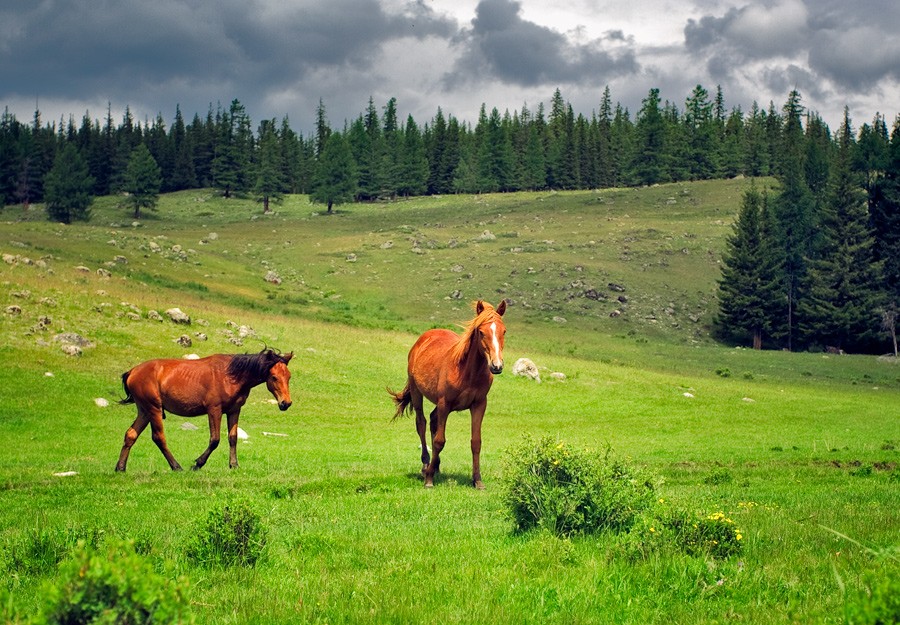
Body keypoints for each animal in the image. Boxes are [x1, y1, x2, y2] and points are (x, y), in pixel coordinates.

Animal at [114, 348, 294, 470]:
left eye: (289, 376)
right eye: (274, 377)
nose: (286, 403)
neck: (231, 375)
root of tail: (133, 371)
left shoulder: (234, 411)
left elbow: (233, 438)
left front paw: (234, 465)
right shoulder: (214, 410)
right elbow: (215, 440)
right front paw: (198, 464)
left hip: (144, 411)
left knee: (130, 435)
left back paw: (120, 467)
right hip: (154, 410)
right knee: (159, 437)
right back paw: (176, 466)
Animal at [390, 298, 510, 488]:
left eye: (503, 331)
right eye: (481, 332)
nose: (496, 366)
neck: (467, 372)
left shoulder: (479, 405)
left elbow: (476, 442)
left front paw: (477, 481)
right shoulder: (444, 404)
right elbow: (439, 441)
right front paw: (429, 480)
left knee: (432, 420)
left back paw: (436, 466)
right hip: (417, 393)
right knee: (421, 424)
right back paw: (426, 466)